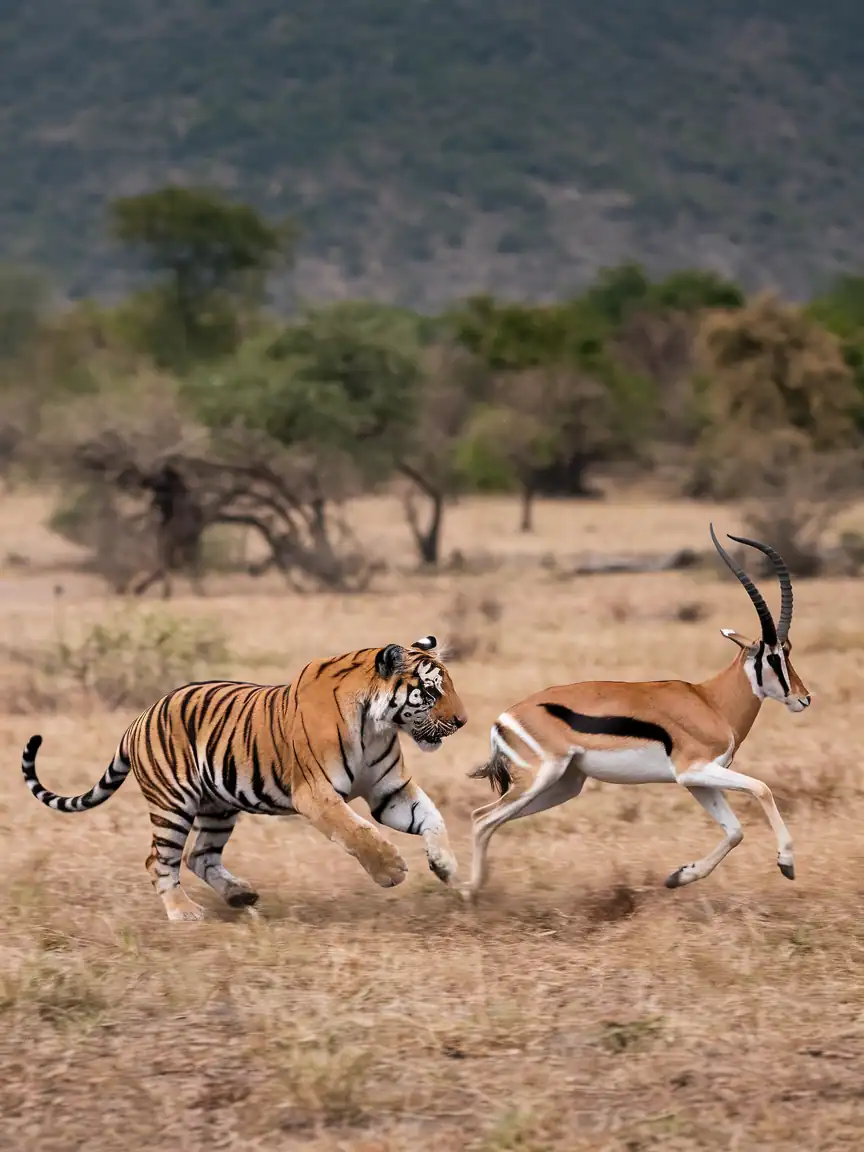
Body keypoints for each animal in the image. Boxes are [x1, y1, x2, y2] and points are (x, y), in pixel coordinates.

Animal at [21, 635, 467, 921]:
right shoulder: (316, 794)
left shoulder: (389, 791)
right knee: (160, 859)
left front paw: (447, 868)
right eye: (430, 691)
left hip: (218, 806)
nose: (463, 721)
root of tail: (138, 719)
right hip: (173, 804)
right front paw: (391, 870)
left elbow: (433, 817)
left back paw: (241, 895)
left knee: (199, 856)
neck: (377, 724)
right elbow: (355, 832)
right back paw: (184, 912)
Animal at [462, 525, 811, 900]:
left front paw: (678, 876)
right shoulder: (694, 771)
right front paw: (787, 863)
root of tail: (504, 720)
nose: (804, 698)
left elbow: (734, 831)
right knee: (482, 818)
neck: (711, 702)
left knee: (490, 820)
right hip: (540, 779)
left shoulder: (698, 781)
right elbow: (762, 788)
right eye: (773, 656)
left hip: (561, 786)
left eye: (788, 650)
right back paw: (467, 890)